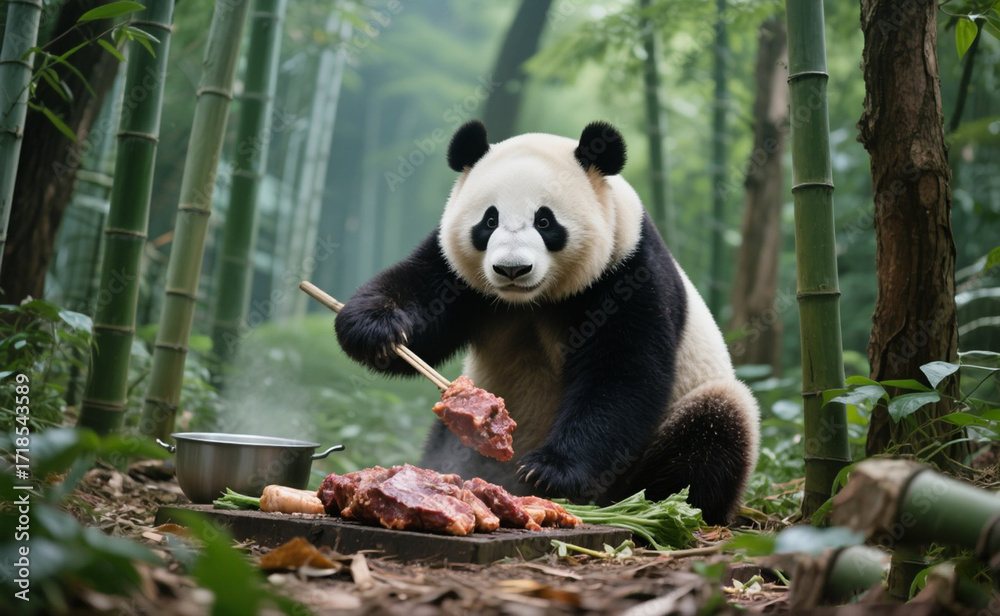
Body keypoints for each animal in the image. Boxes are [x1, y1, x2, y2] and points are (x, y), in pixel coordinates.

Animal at [334, 120, 760, 524]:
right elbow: (421, 300)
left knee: (714, 427)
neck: (530, 301)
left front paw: (550, 471)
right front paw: (374, 329)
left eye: (545, 221)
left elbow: (623, 372)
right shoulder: (456, 270)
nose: (511, 269)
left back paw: (659, 504)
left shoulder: (628, 270)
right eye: (489, 220)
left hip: (683, 417)